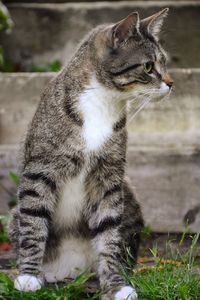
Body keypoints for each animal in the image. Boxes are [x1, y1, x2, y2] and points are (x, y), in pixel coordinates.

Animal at [9, 8, 172, 298]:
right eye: (148, 66)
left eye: (163, 63)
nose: (171, 83)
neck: (103, 102)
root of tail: (71, 270)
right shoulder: (41, 169)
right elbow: (34, 222)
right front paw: (28, 276)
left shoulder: (108, 176)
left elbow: (109, 234)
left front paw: (116, 285)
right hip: (13, 215)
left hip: (128, 197)